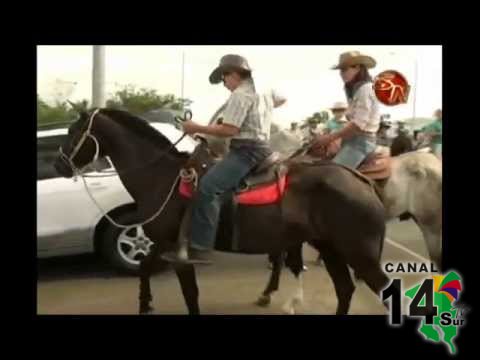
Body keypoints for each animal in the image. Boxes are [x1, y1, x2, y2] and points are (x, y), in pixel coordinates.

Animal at [53, 109, 390, 316]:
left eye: (73, 132)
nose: (58, 165)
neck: (162, 178)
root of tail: (363, 181)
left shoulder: (180, 254)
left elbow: (190, 295)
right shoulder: (162, 245)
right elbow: (146, 269)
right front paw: (145, 304)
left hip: (358, 252)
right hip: (330, 247)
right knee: (345, 289)